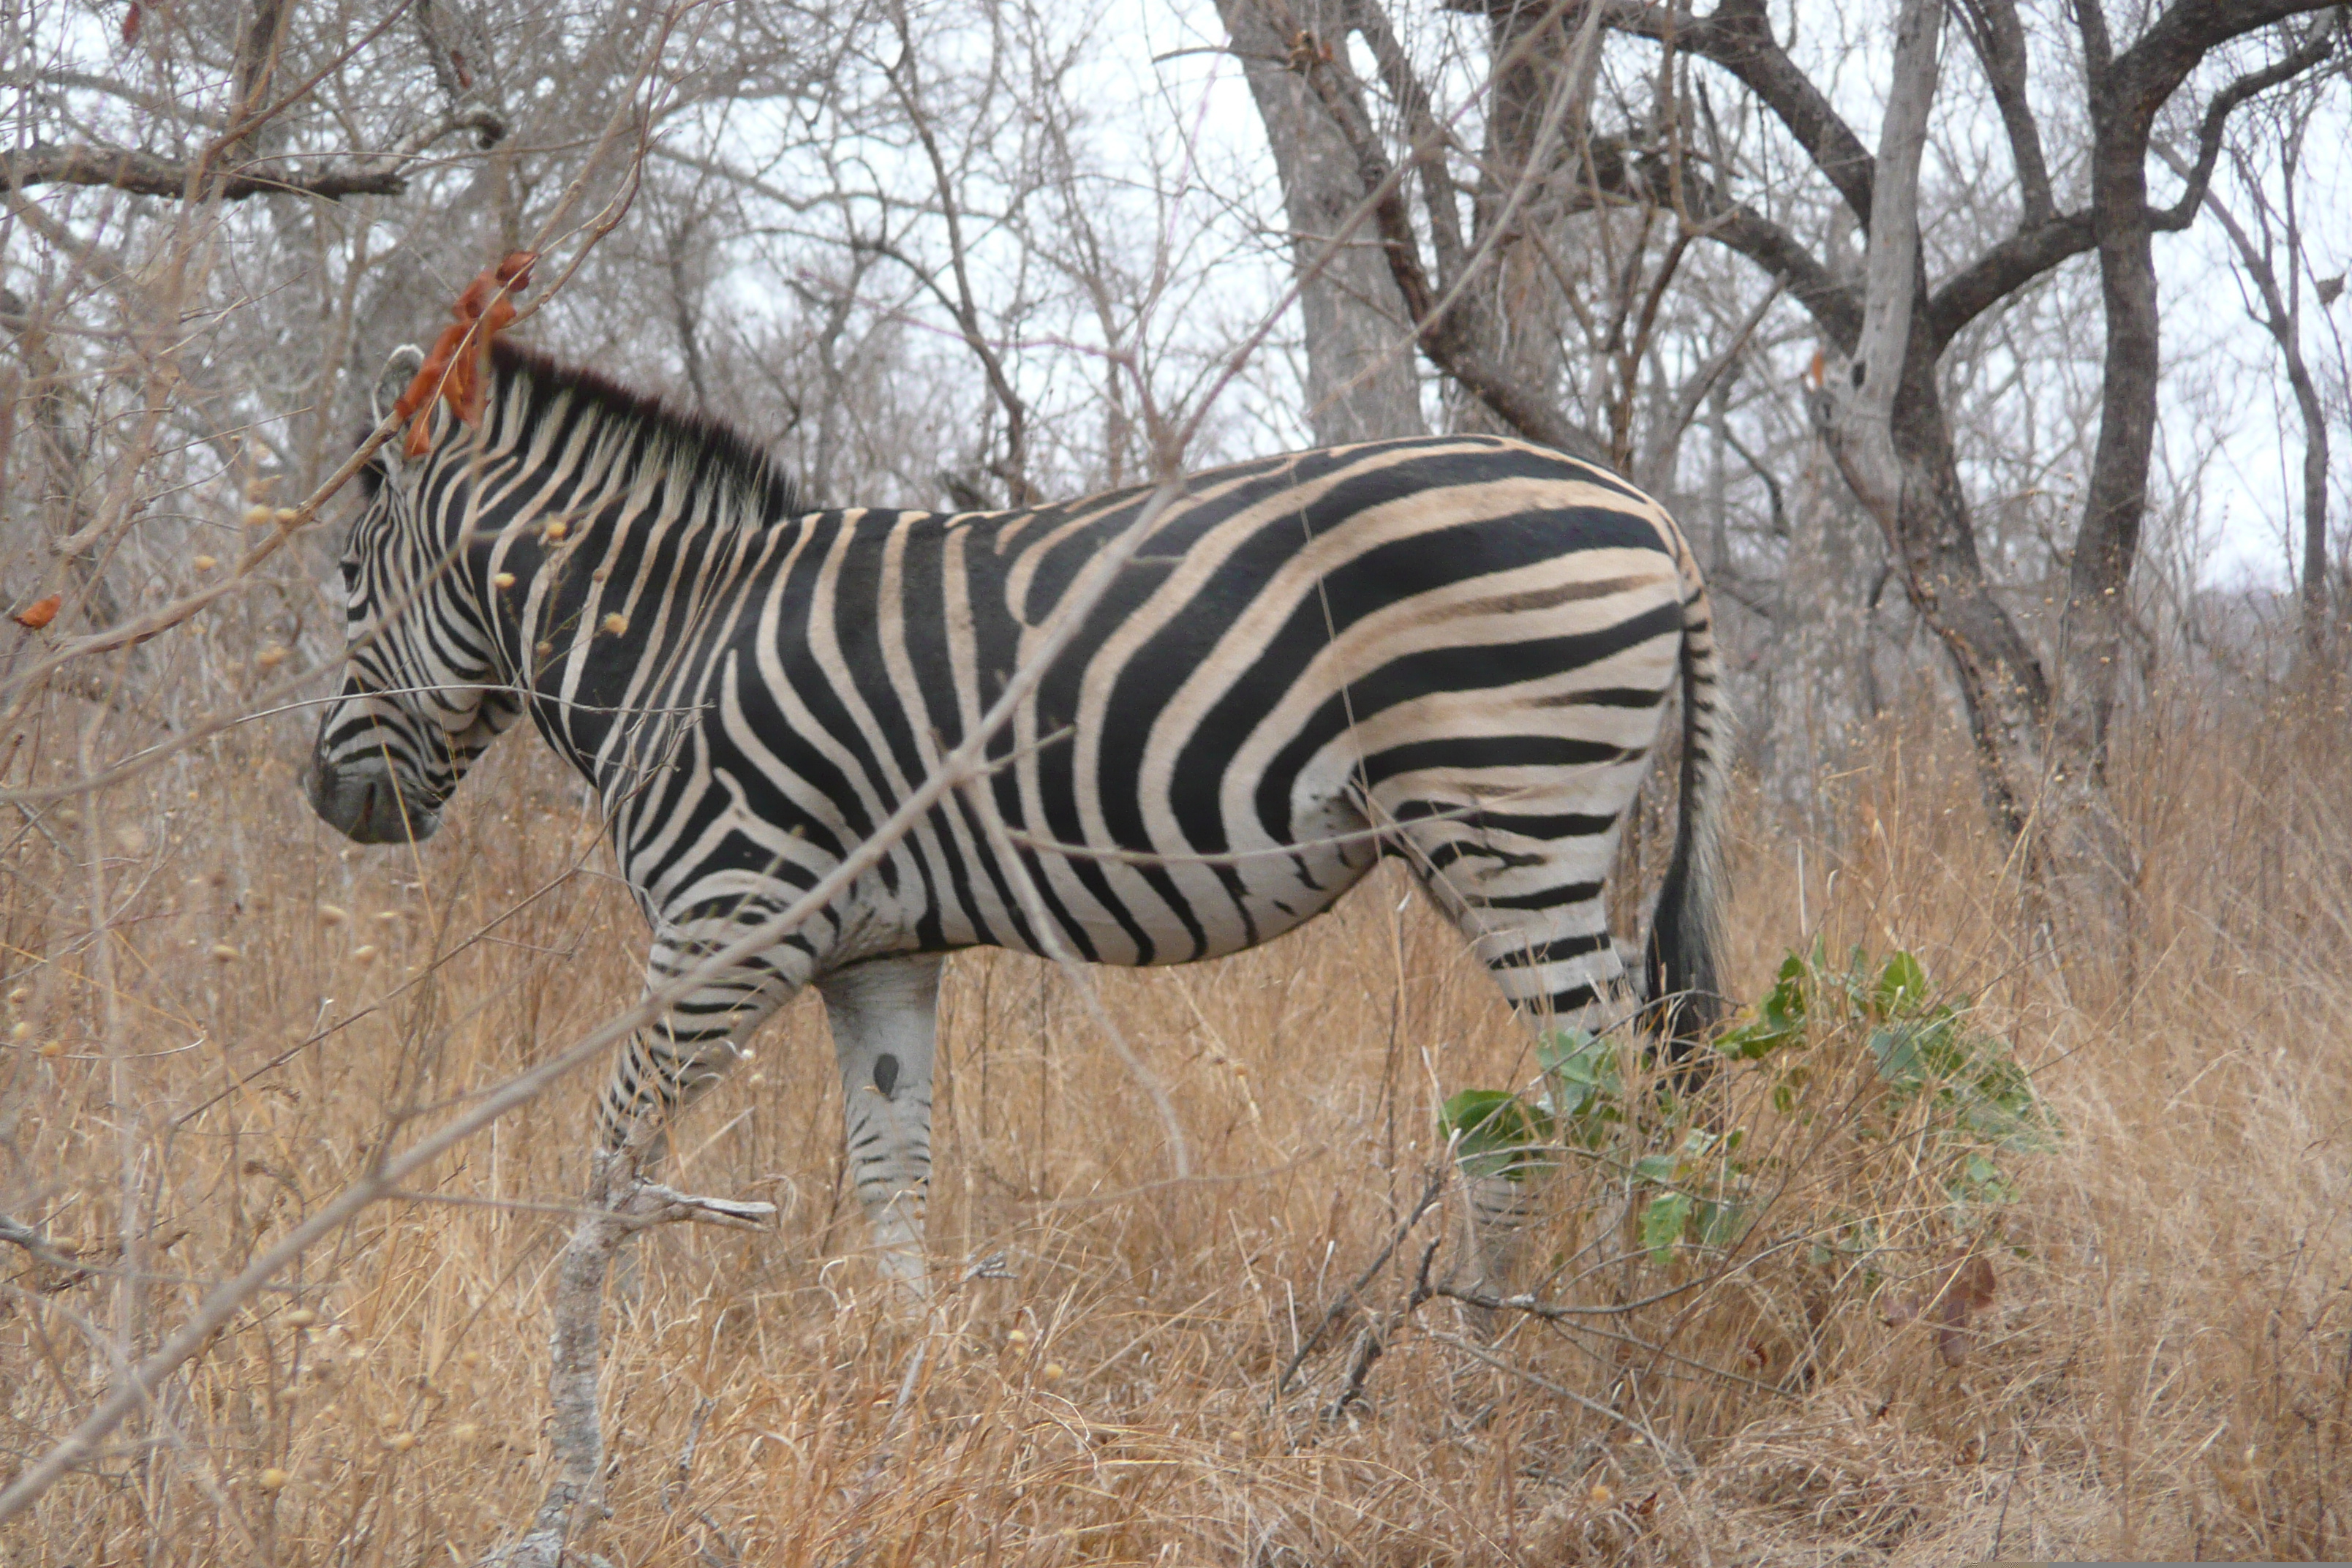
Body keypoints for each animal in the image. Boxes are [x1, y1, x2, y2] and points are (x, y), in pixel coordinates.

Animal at [298, 331, 1730, 1532]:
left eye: (350, 579)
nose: (322, 797)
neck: (666, 650)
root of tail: (1651, 511)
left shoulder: (727, 918)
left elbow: (613, 1172)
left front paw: (579, 1437)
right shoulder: (874, 953)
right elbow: (892, 1171)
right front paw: (910, 1381)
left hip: (1514, 816)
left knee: (1616, 1094)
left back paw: (1616, 1360)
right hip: (1497, 845)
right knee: (1594, 1093)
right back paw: (1536, 1360)